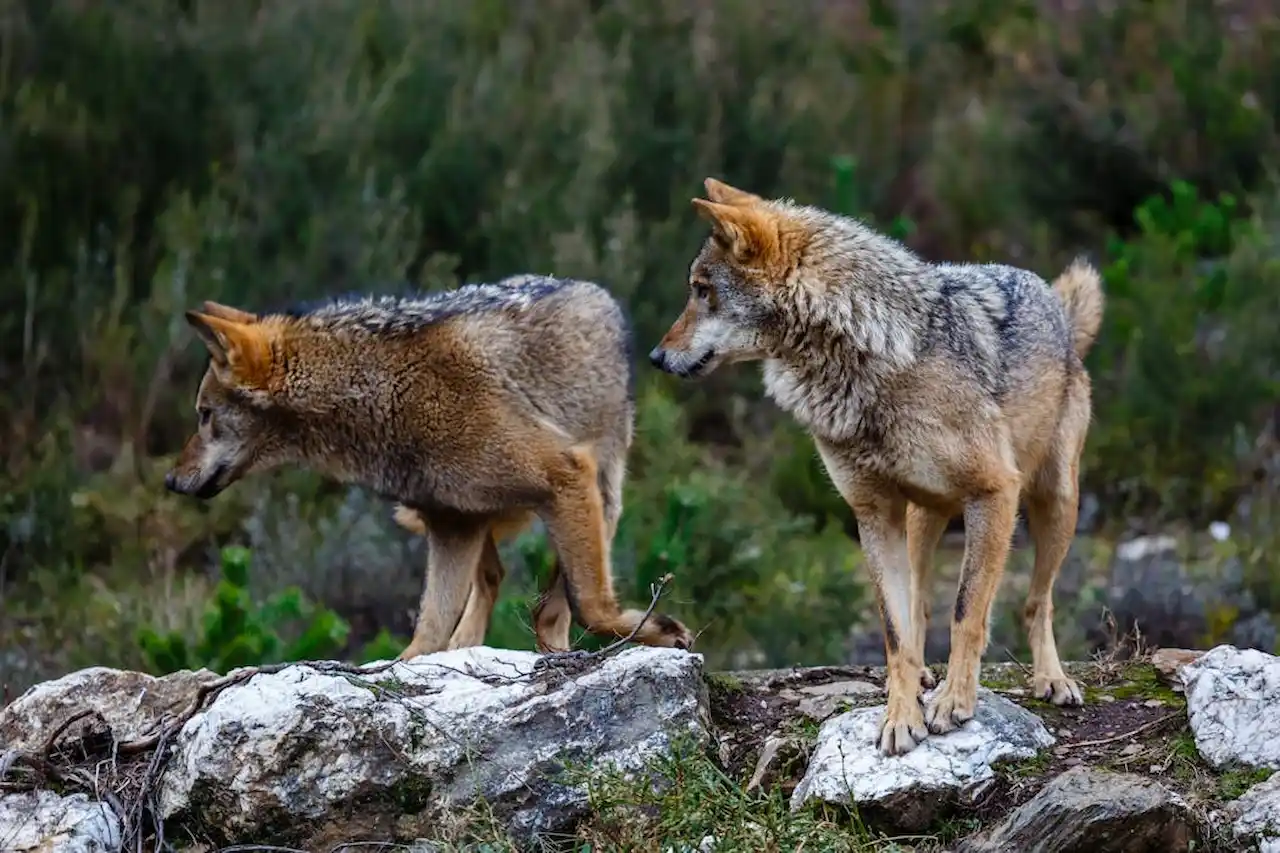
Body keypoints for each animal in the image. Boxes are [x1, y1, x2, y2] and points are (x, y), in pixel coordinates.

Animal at [164, 274, 695, 660]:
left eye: (204, 415)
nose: (171, 479)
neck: (387, 394)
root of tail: (594, 291)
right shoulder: (450, 523)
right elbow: (426, 634)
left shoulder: (562, 476)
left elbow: (591, 605)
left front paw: (661, 630)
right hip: (478, 516)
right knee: (494, 576)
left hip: (597, 494)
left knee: (557, 595)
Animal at [650, 178, 1104, 755]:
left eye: (702, 290)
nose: (654, 357)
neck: (868, 355)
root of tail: (1055, 301)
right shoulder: (873, 515)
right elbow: (894, 632)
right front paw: (899, 716)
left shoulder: (995, 493)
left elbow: (967, 611)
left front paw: (955, 702)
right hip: (922, 521)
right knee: (920, 608)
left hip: (1055, 504)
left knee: (1036, 602)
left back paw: (1051, 679)